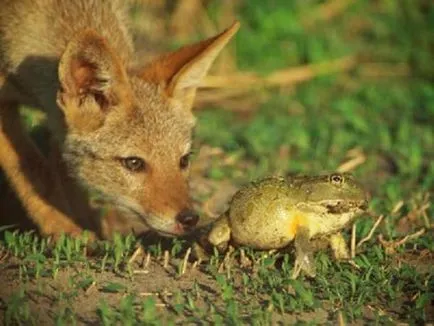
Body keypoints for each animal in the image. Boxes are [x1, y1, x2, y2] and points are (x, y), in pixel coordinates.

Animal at [0, 0, 237, 239]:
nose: (189, 219)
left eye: (184, 160)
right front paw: (65, 230)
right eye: (133, 163)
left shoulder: (57, 124)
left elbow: (66, 173)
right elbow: (34, 169)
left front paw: (88, 225)